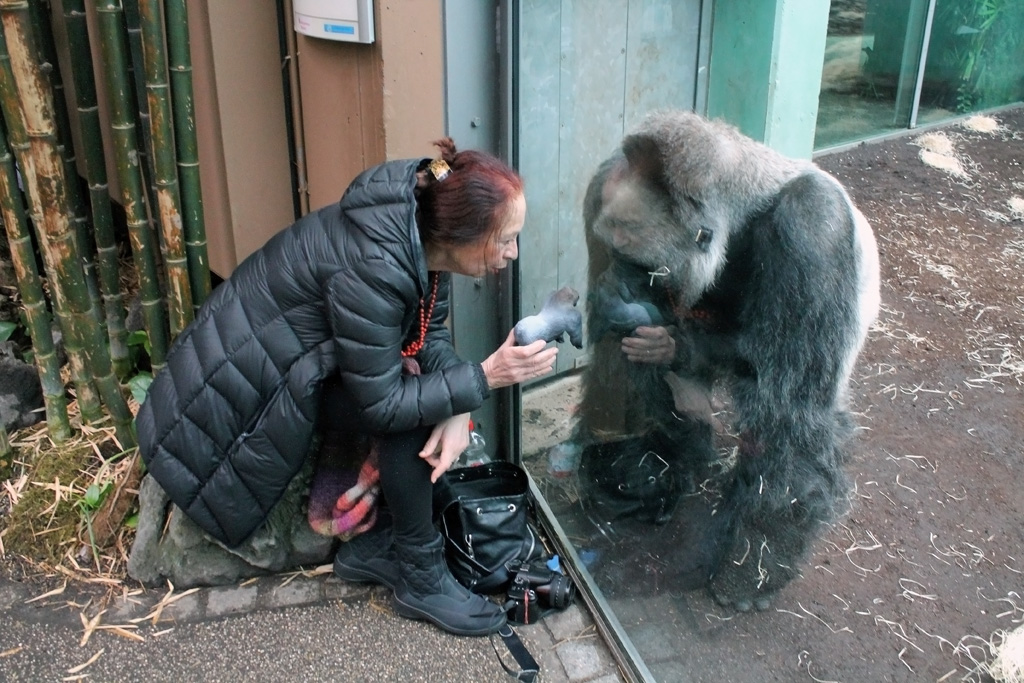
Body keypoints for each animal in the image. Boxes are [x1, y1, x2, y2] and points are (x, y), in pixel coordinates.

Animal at [577, 111, 880, 614]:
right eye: (614, 255)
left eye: (642, 267)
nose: (618, 283)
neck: (744, 206)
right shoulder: (601, 187)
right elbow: (616, 353)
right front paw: (638, 465)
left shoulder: (815, 224)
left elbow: (791, 412)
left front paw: (755, 562)